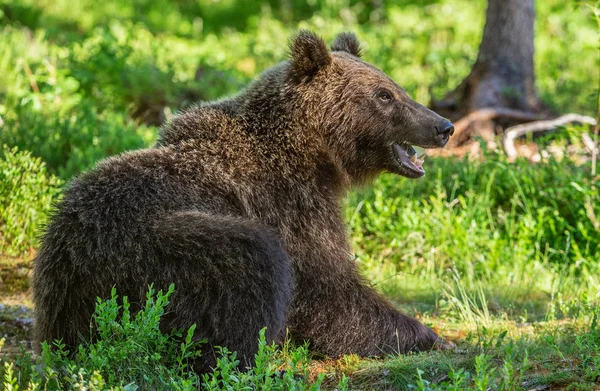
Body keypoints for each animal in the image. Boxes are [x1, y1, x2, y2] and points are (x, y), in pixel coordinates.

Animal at [32, 29, 452, 370]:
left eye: (396, 87)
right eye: (384, 95)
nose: (443, 126)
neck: (310, 154)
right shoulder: (289, 205)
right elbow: (326, 290)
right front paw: (427, 335)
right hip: (149, 250)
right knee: (249, 259)